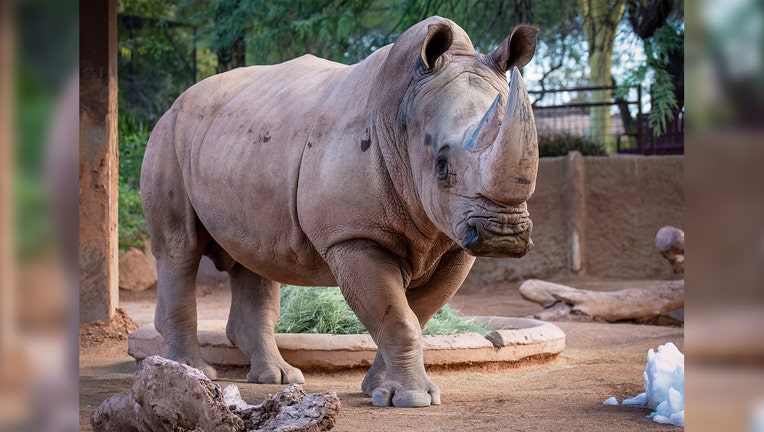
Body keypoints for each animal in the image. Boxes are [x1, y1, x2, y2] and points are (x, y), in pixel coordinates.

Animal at [142, 16, 536, 408]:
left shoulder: (453, 241)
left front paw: (378, 390)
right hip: (168, 135)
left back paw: (277, 377)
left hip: (238, 141)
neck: (403, 114)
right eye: (442, 165)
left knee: (254, 257)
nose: (503, 234)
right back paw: (193, 371)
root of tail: (179, 100)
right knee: (179, 248)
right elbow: (399, 318)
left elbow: (415, 315)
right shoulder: (354, 236)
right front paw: (411, 399)